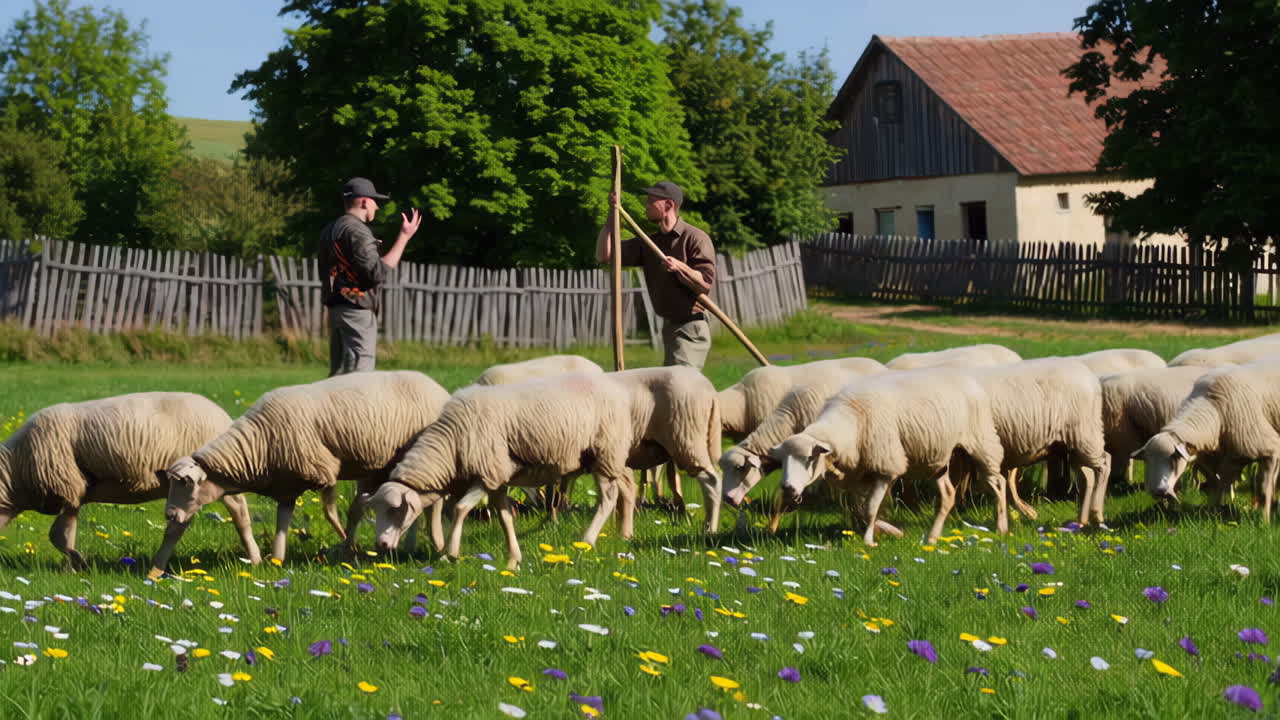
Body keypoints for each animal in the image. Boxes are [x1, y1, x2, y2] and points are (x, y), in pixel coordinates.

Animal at [0, 392, 260, 570]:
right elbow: (66, 533)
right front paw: (70, 569)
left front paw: (79, 562)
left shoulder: (66, 487)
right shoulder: (73, 494)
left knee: (237, 512)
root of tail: (223, 416)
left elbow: (57, 536)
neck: (15, 472)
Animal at [154, 371, 451, 574]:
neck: (258, 443)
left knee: (430, 502)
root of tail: (437, 386)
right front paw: (276, 559)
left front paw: (344, 542)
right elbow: (282, 523)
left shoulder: (324, 469)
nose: (170, 515)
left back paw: (436, 544)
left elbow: (331, 513)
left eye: (185, 485)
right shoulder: (287, 487)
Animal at [369, 367, 722, 570]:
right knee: (622, 490)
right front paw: (513, 559)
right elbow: (504, 516)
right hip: (602, 455)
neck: (452, 444)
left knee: (702, 481)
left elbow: (460, 509)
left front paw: (450, 553)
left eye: (397, 510)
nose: (381, 546)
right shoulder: (499, 479)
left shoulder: (487, 472)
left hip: (620, 448)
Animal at [771, 367, 1007, 546]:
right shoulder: (857, 476)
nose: (788, 489)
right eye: (782, 461)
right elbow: (861, 511)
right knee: (949, 495)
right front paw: (891, 531)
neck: (850, 422)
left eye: (809, 458)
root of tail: (968, 379)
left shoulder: (885, 467)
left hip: (982, 442)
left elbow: (870, 509)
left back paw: (1002, 527)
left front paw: (869, 541)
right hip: (937, 460)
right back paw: (931, 538)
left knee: (999, 482)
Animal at [1135, 359, 1280, 519]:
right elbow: (1215, 488)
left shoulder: (1270, 451)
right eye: (1146, 460)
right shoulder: (1211, 460)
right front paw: (1214, 513)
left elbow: (1264, 490)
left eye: (1174, 458)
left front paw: (1263, 520)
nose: (1159, 491)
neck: (1215, 409)